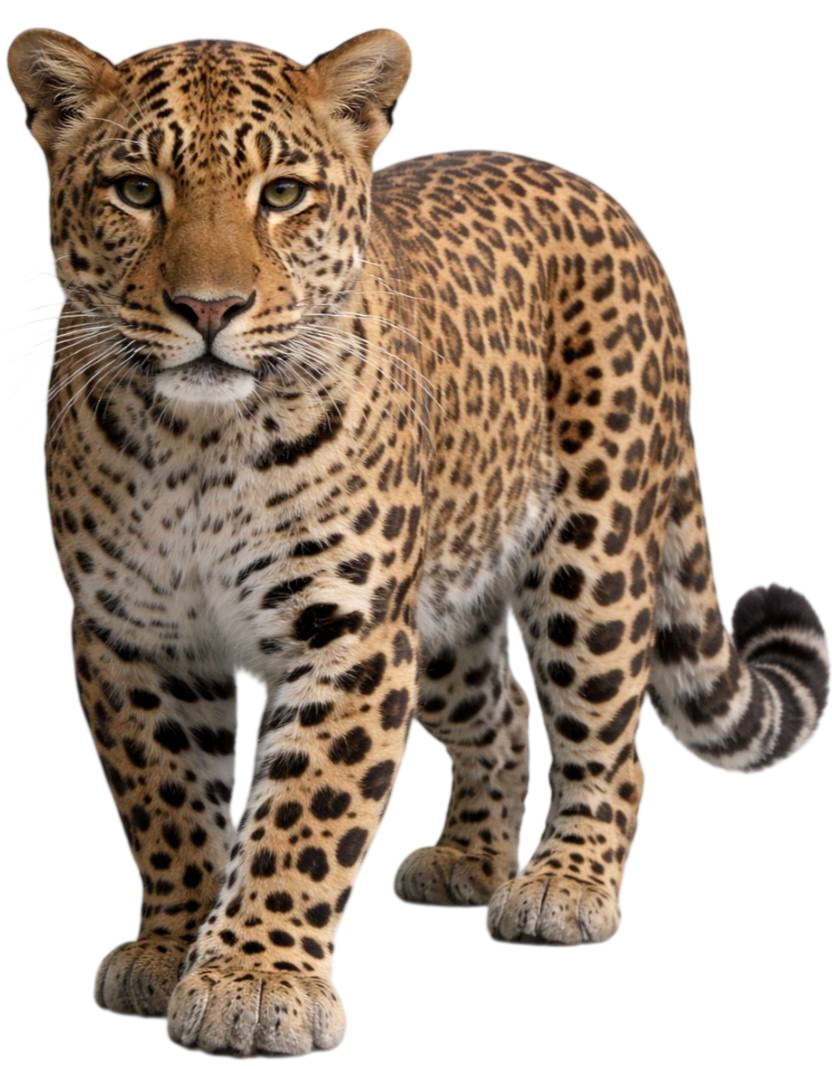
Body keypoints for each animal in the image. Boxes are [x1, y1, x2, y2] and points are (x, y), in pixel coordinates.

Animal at [7, 24, 830, 1060]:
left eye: (283, 194)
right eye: (135, 190)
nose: (209, 309)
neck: (203, 445)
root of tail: (601, 197)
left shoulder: (348, 633)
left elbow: (301, 816)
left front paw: (255, 982)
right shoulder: (134, 638)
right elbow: (168, 801)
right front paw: (171, 945)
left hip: (591, 555)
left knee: (609, 737)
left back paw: (565, 883)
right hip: (438, 610)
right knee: (506, 710)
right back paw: (471, 858)